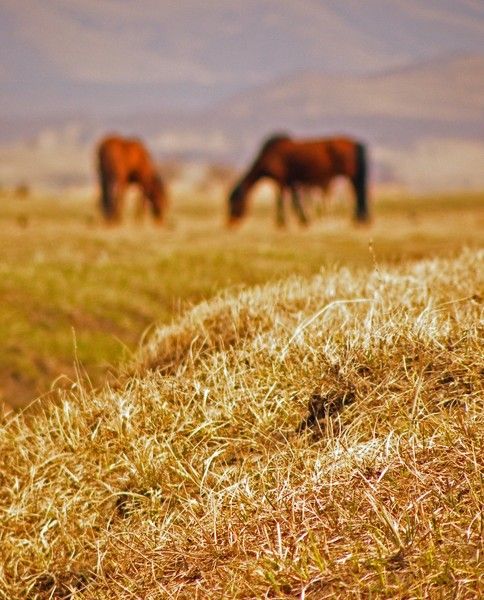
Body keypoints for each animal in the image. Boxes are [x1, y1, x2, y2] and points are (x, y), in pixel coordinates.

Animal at [229, 135, 368, 226]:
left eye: (234, 202)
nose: (230, 223)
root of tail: (355, 143)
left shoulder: (281, 180)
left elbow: (281, 201)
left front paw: (283, 222)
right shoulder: (290, 181)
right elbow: (294, 201)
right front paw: (303, 219)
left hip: (351, 175)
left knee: (357, 192)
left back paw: (358, 219)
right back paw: (360, 219)